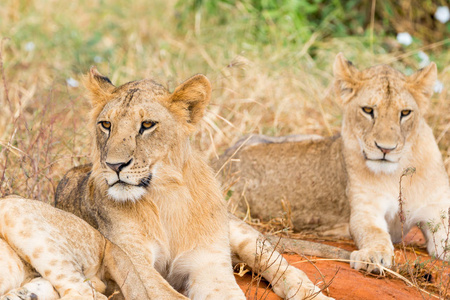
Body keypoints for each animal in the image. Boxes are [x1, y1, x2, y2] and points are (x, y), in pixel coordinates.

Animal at [55, 68, 330, 300]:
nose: (114, 165)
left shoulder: (208, 264)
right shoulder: (132, 263)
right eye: (106, 125)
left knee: (284, 266)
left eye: (147, 125)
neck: (166, 196)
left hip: (241, 234)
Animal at [214, 52, 450, 274]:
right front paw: (373, 256)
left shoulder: (437, 212)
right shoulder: (365, 210)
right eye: (367, 110)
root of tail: (220, 159)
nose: (386, 149)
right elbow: (374, 233)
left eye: (405, 113)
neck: (397, 171)